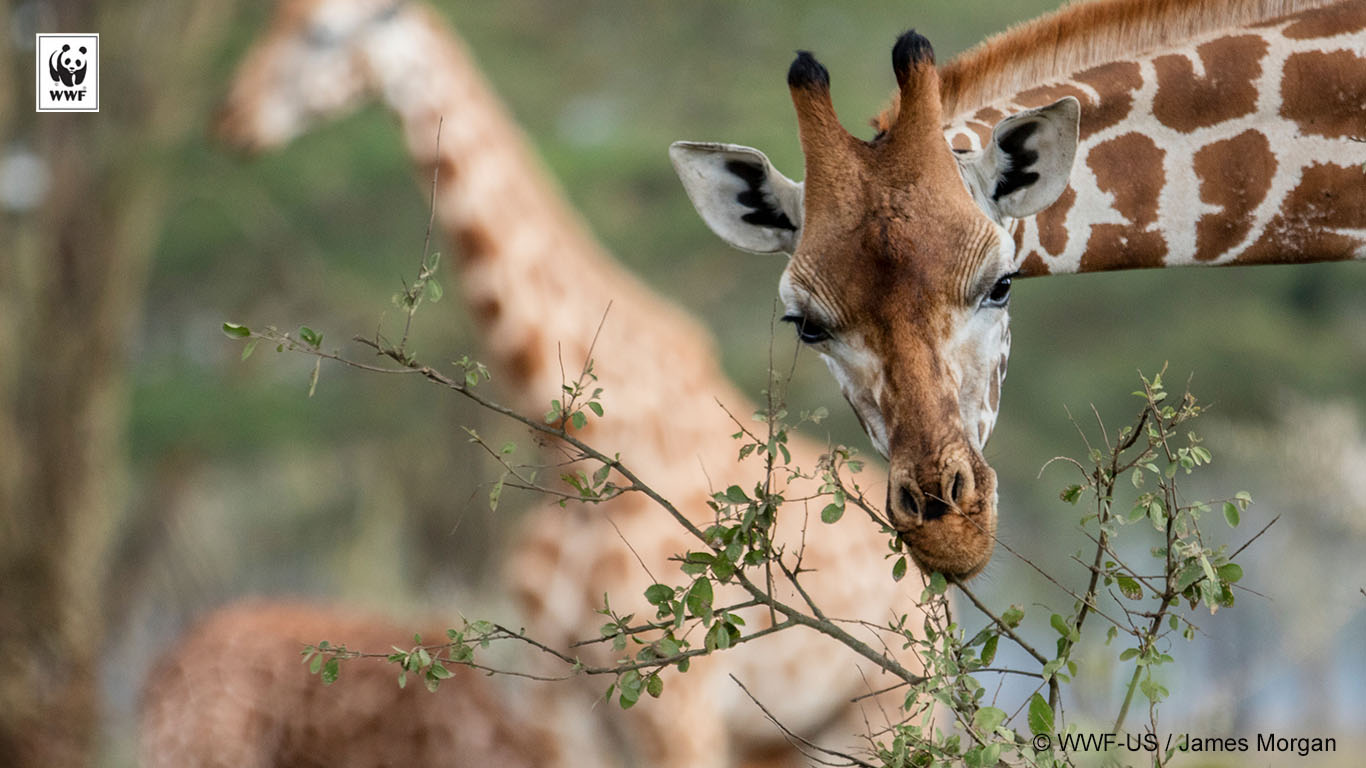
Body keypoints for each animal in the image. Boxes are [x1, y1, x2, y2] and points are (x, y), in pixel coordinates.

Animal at [195, 1, 928, 765]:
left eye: (324, 34)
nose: (230, 119)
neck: (577, 446)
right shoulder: (554, 701)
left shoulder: (679, 690)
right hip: (785, 737)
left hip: (893, 706)